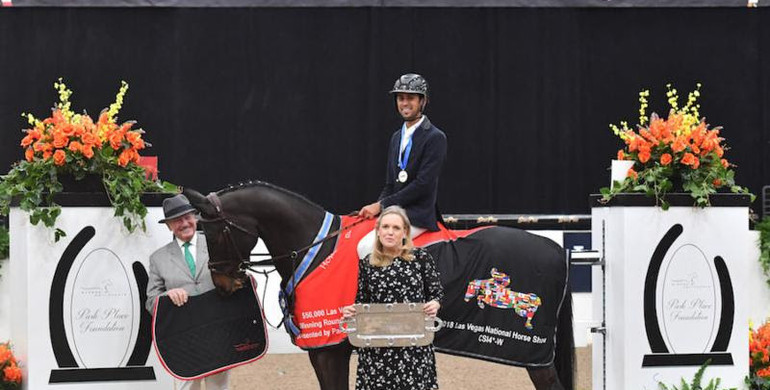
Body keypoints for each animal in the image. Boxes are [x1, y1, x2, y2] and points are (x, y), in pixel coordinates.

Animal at [183, 184, 572, 390]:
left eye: (213, 234)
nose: (223, 284)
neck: (315, 249)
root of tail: (556, 250)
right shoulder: (321, 353)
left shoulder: (329, 350)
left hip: (533, 354)